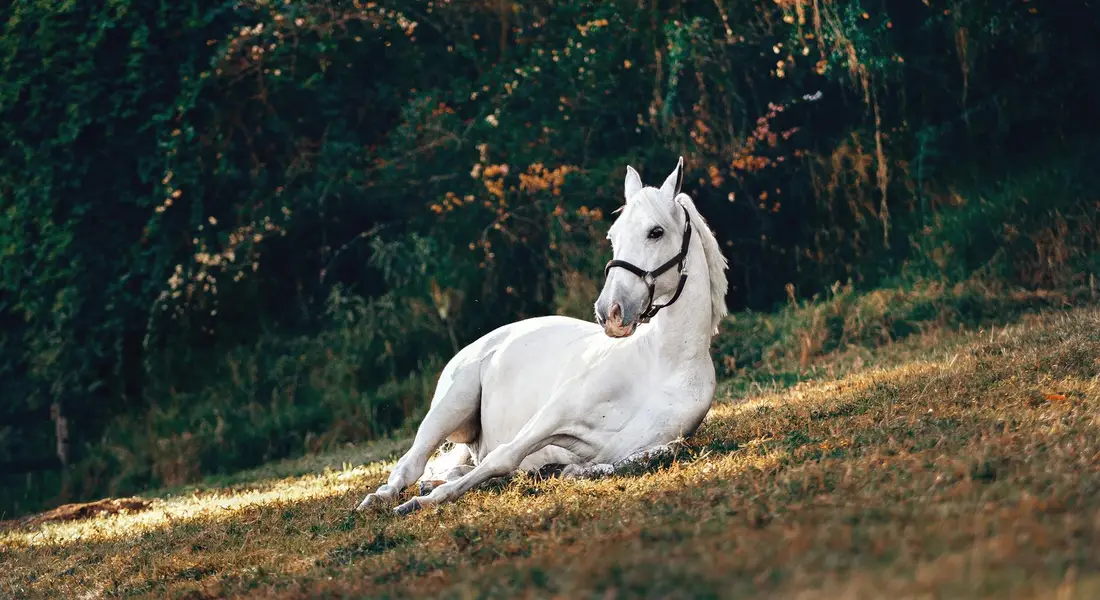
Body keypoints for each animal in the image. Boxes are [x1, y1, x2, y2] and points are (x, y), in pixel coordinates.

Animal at [356, 157, 729, 516]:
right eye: (613, 236)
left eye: (656, 232)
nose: (610, 311)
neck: (662, 364)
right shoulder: (553, 415)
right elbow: (503, 456)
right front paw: (423, 503)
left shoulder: (641, 446)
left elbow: (636, 458)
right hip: (449, 408)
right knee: (411, 464)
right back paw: (382, 498)